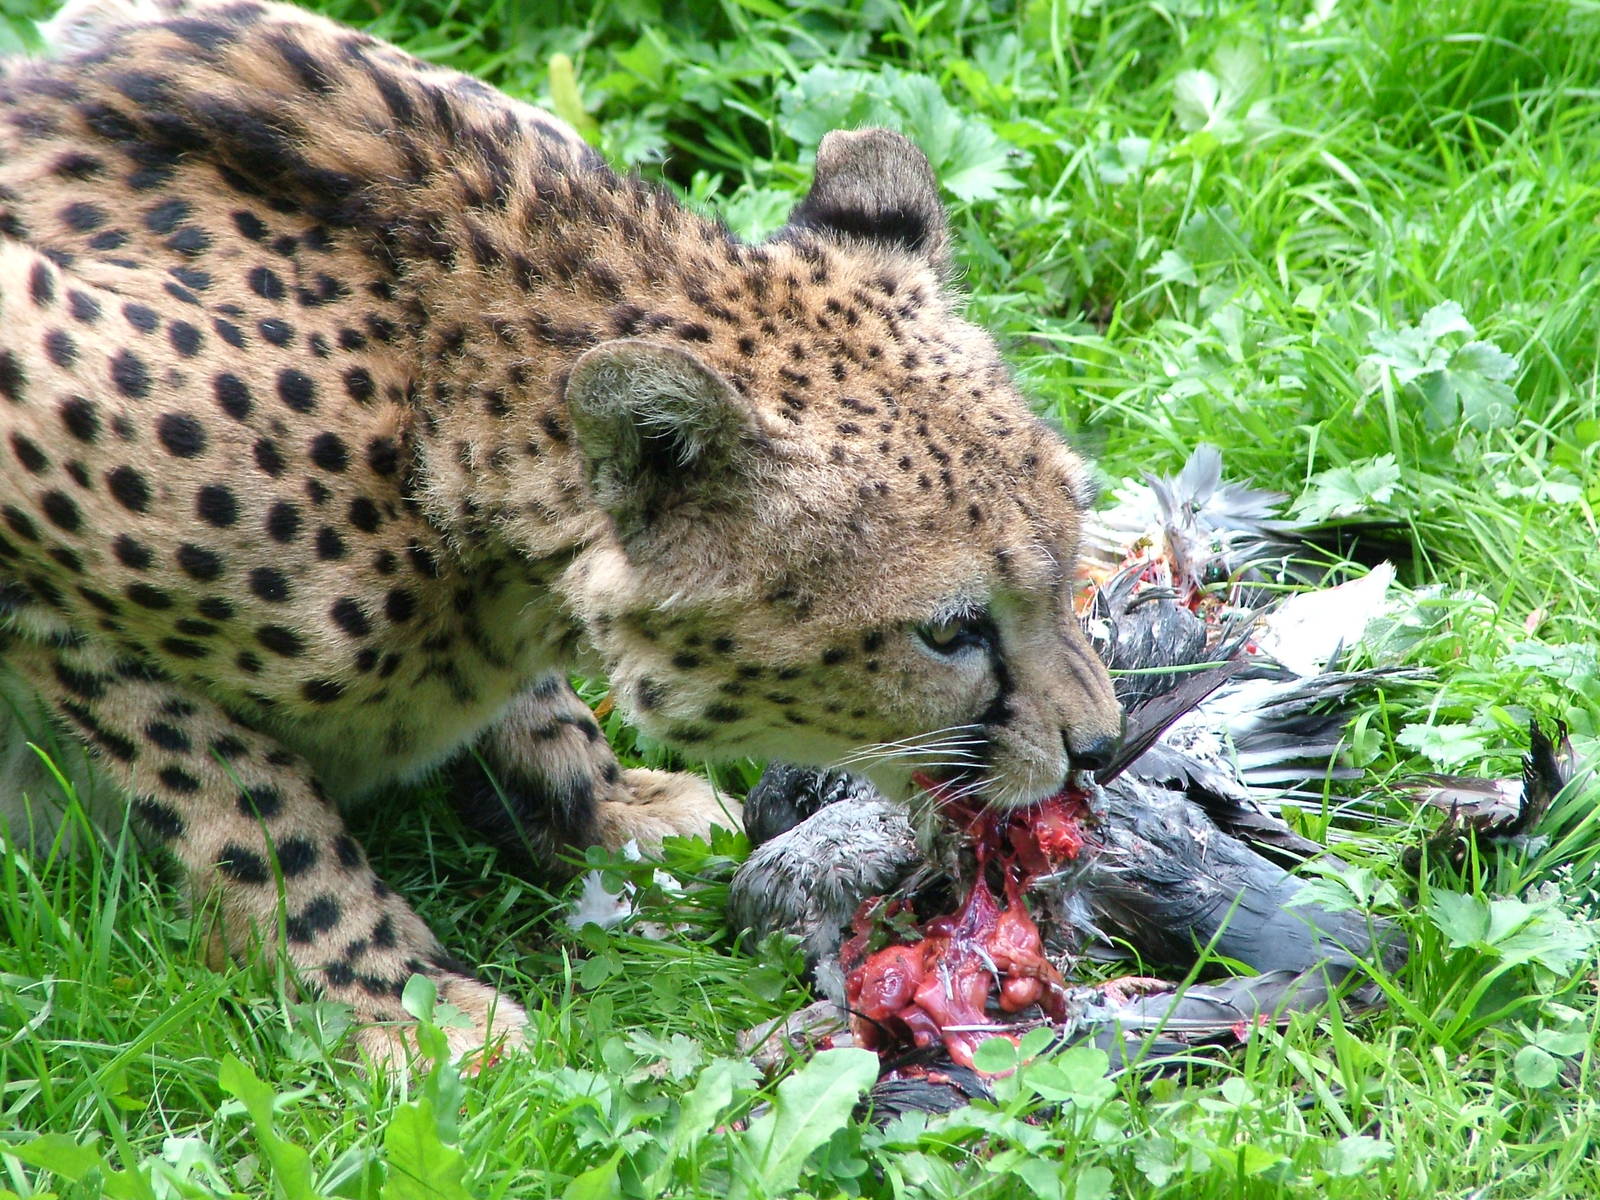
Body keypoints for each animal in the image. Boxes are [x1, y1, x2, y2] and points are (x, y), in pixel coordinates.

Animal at [0, 0, 1124, 1068]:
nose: (1103, 749)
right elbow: (245, 804)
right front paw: (397, 1000)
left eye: (1072, 547)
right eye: (948, 630)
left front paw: (609, 804)